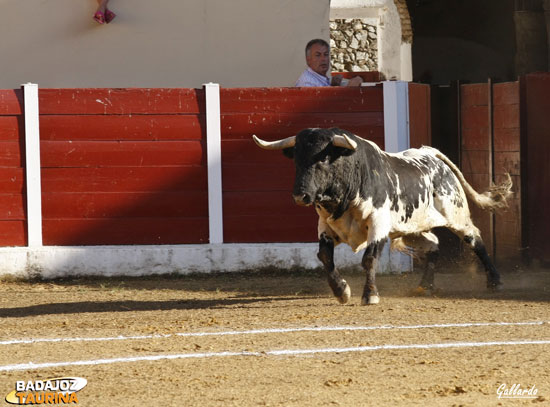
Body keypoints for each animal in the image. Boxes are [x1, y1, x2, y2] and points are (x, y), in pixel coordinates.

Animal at [253, 127, 512, 306]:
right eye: (296, 159)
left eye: (323, 158)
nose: (301, 195)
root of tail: (430, 153)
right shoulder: (325, 226)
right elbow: (325, 256)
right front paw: (341, 291)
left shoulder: (378, 225)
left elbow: (369, 258)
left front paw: (370, 295)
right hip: (411, 229)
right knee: (433, 244)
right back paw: (424, 286)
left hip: (456, 215)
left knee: (475, 240)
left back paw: (496, 281)